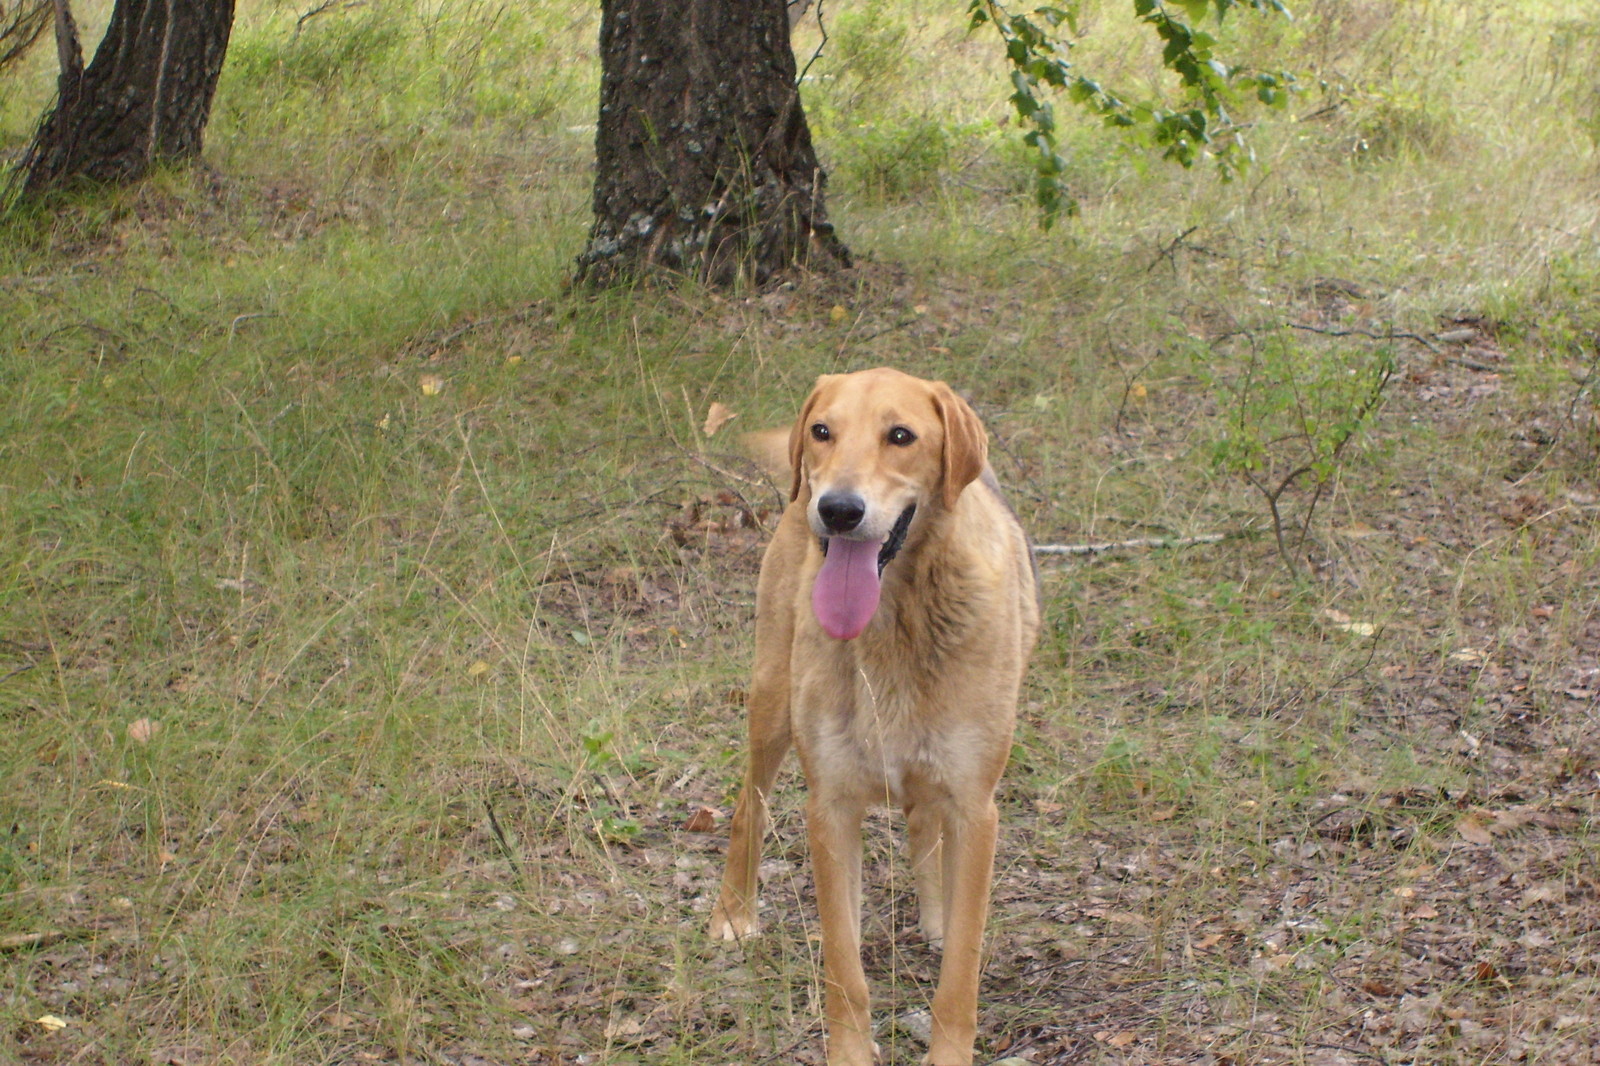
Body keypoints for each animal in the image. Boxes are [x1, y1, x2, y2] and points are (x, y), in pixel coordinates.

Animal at [710, 368, 1036, 1062]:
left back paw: (934, 912)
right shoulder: (831, 807)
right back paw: (733, 912)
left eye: (901, 436)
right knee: (750, 804)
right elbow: (844, 967)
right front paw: (851, 1052)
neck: (896, 619)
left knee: (924, 829)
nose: (837, 510)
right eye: (822, 430)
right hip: (772, 699)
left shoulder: (975, 808)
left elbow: (960, 968)